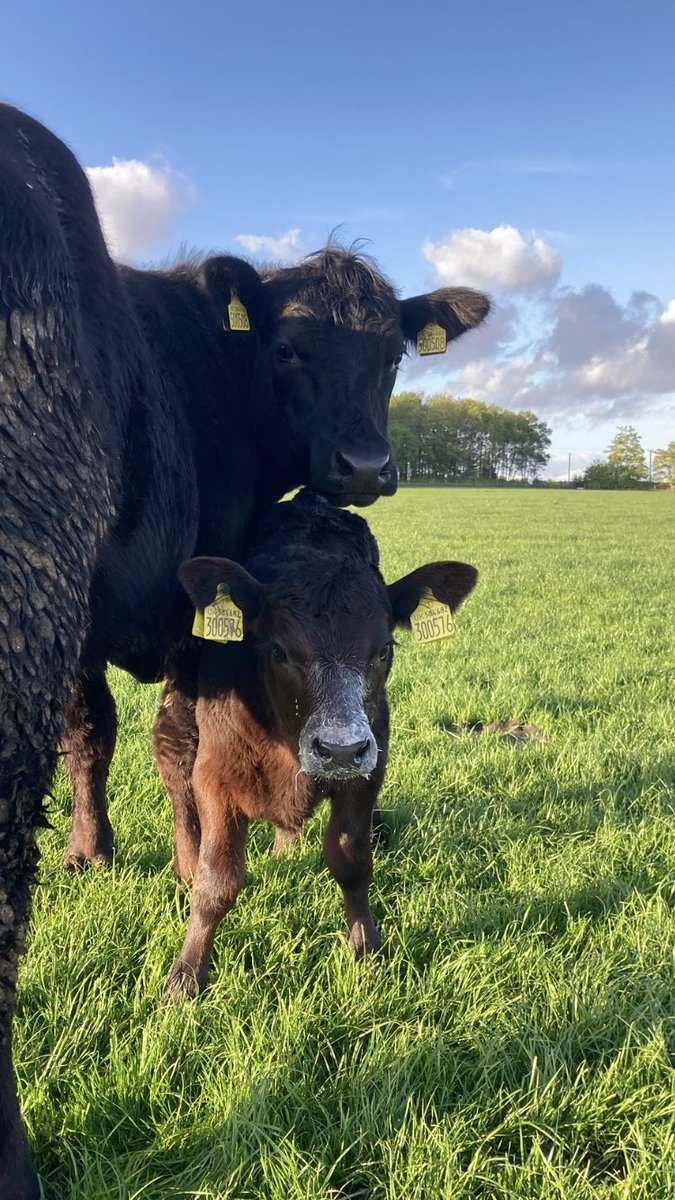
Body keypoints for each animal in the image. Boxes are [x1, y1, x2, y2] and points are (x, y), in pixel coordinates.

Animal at [164, 489, 478, 999]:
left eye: (384, 649)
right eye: (278, 650)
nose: (341, 749)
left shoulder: (368, 772)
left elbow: (352, 862)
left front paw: (368, 951)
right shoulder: (214, 776)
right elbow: (217, 882)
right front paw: (187, 974)